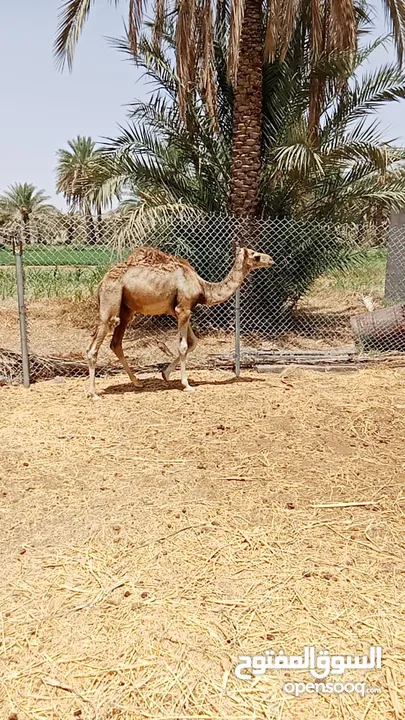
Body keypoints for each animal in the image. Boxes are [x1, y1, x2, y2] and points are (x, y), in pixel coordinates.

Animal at [87, 245, 274, 396]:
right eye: (255, 255)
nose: (271, 259)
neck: (203, 288)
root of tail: (102, 282)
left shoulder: (181, 311)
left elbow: (193, 342)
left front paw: (165, 374)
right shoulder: (183, 309)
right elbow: (183, 346)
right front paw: (187, 385)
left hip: (126, 310)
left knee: (115, 343)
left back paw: (137, 382)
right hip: (110, 303)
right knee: (93, 348)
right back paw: (94, 394)